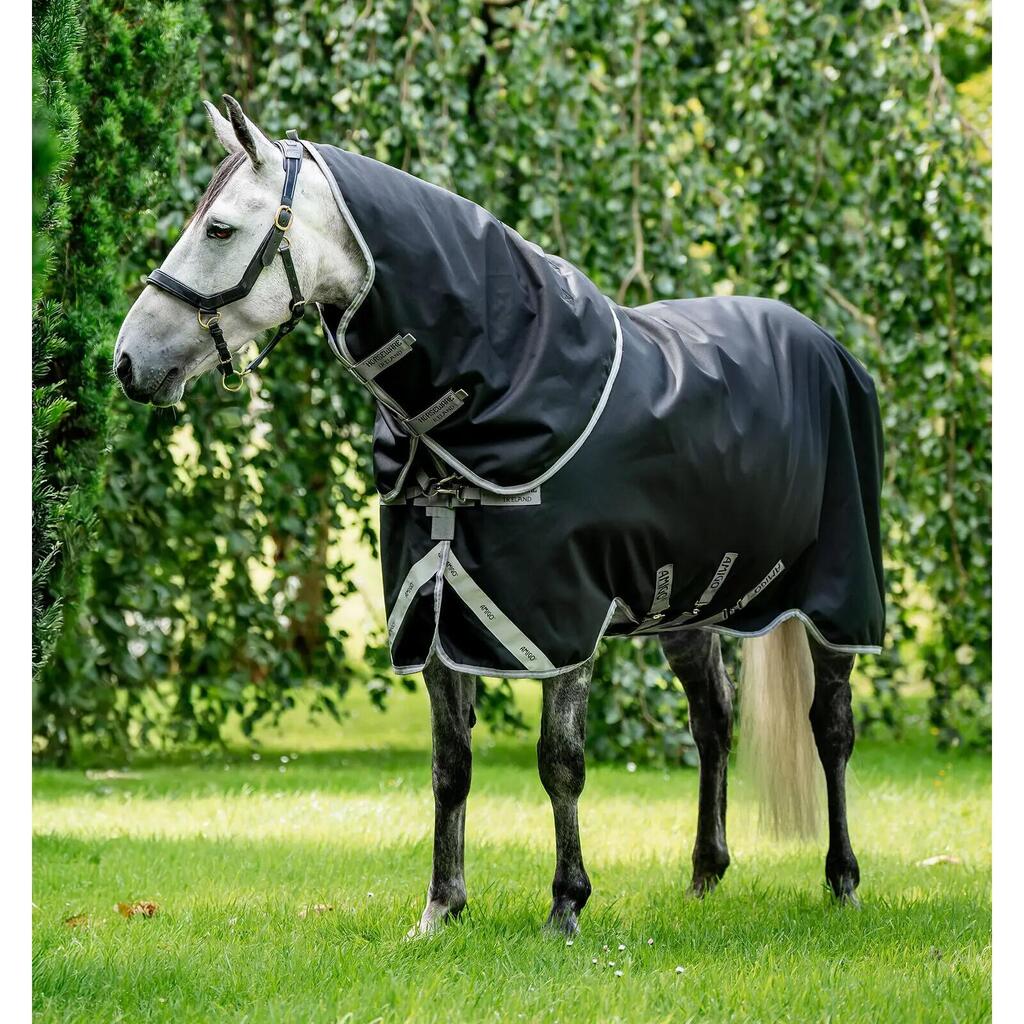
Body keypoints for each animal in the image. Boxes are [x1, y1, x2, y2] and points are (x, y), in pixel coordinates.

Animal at [115, 96, 884, 937]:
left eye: (219, 229)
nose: (127, 362)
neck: (494, 387)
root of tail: (827, 345)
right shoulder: (433, 609)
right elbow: (450, 767)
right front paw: (440, 909)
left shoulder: (561, 621)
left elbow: (561, 762)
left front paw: (566, 905)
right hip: (685, 606)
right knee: (713, 720)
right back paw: (705, 876)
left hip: (836, 598)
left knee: (832, 727)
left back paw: (843, 878)